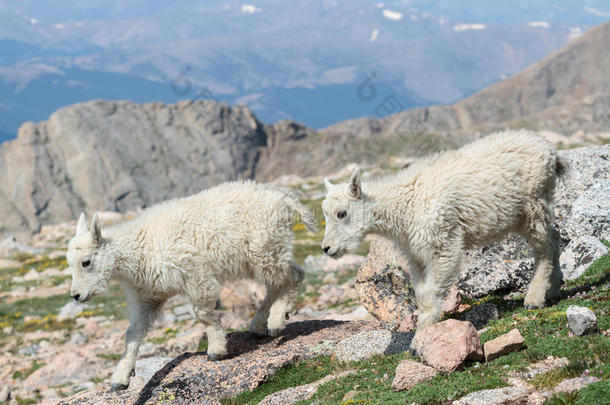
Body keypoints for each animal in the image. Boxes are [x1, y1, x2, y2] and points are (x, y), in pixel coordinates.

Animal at [66, 180, 316, 388]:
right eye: (70, 263)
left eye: (86, 262)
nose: (76, 295)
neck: (139, 249)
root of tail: (284, 199)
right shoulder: (149, 296)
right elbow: (133, 333)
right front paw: (120, 378)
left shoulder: (197, 274)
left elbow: (202, 312)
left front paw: (216, 350)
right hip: (260, 253)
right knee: (278, 281)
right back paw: (258, 324)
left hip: (264, 247)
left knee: (294, 275)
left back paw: (276, 320)